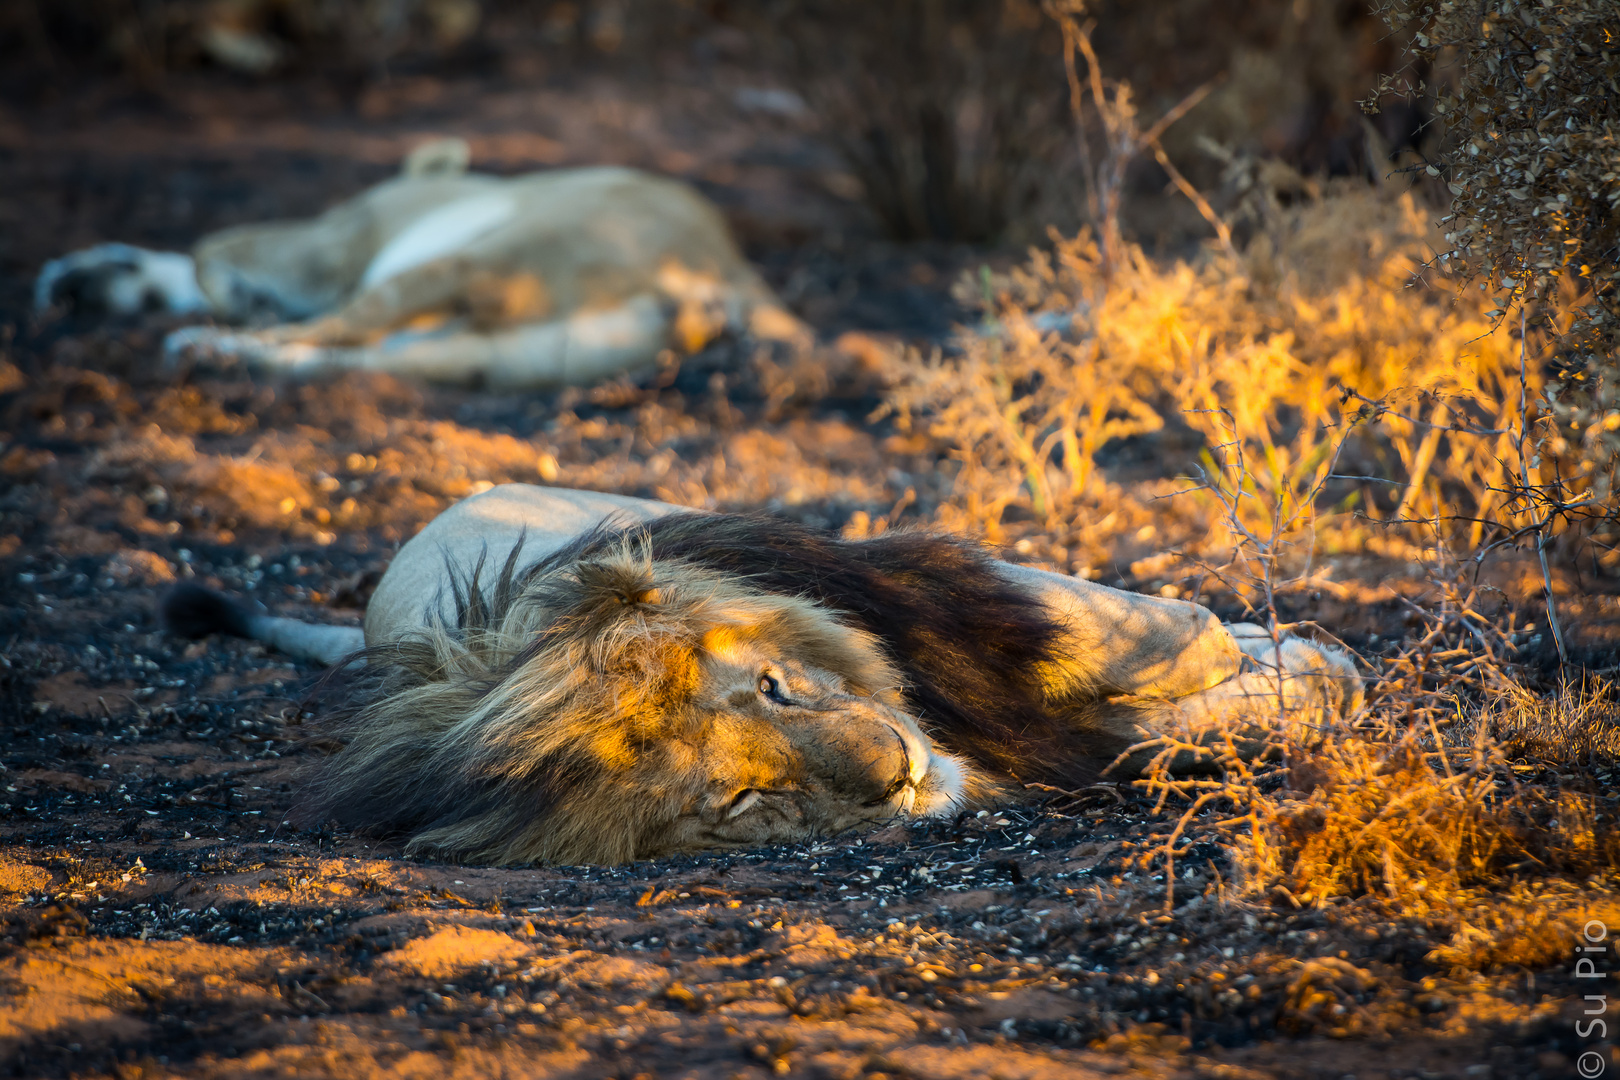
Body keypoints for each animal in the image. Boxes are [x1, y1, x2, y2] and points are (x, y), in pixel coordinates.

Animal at [31, 139, 803, 390]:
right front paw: (90, 281)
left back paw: (203, 344)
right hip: (479, 352)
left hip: (485, 260)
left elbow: (211, 251)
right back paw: (220, 354)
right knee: (336, 355)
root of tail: (732, 276)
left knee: (335, 328)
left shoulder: (328, 240)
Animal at [164, 485, 1360, 867]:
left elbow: (1148, 633)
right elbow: (1150, 729)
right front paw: (1295, 681)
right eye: (745, 798)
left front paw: (1294, 654)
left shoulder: (923, 587)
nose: (899, 772)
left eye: (776, 690)